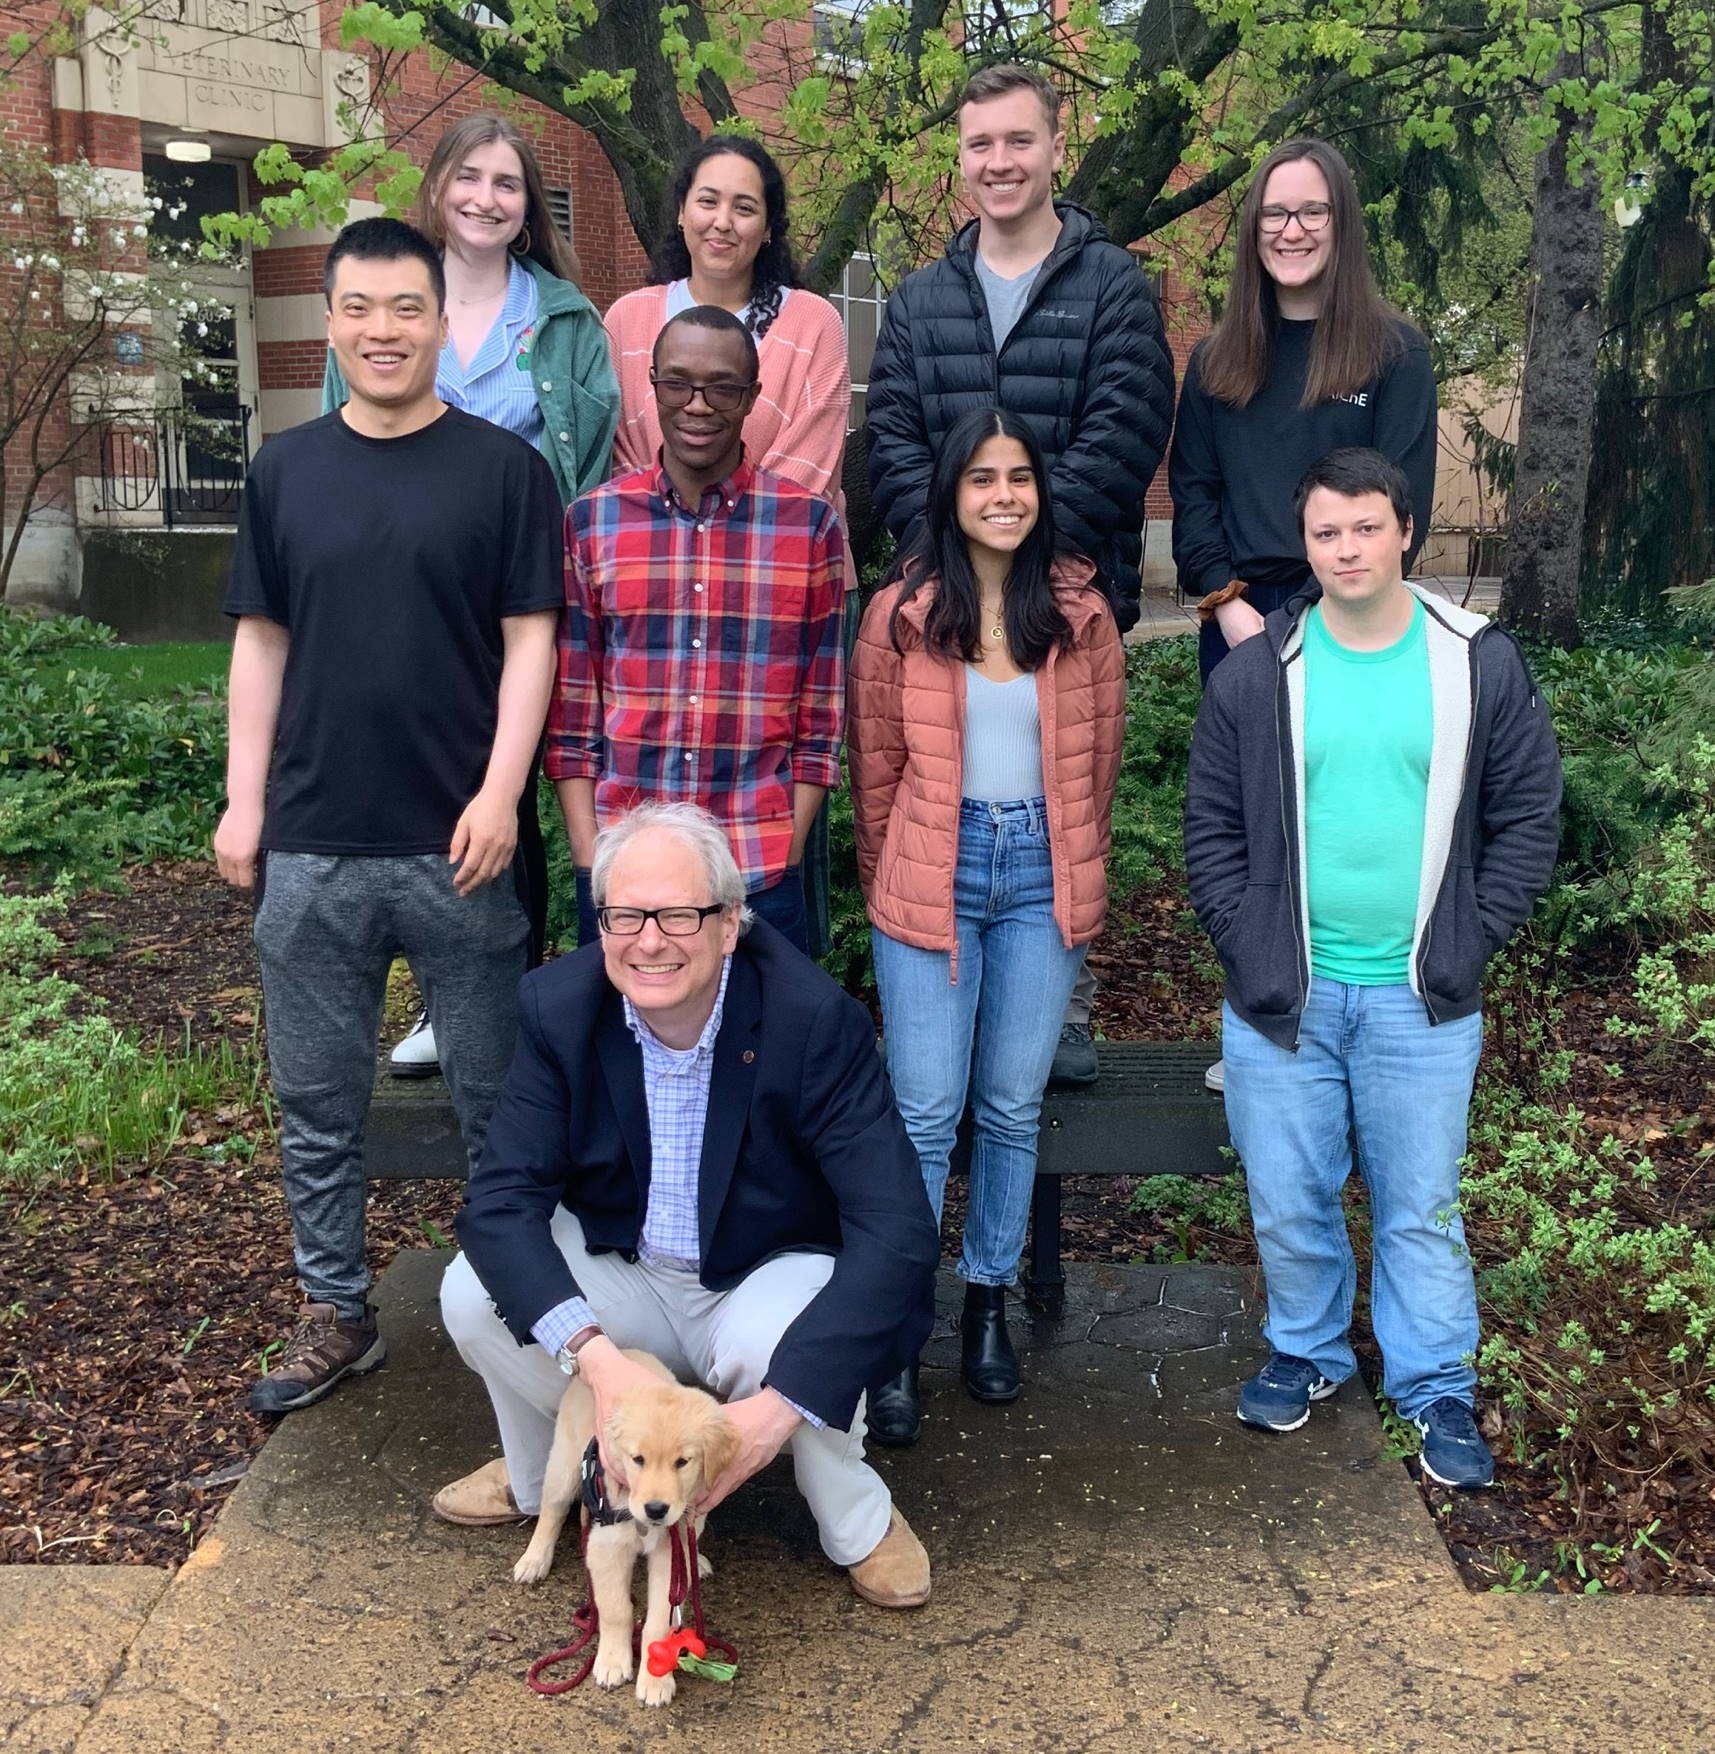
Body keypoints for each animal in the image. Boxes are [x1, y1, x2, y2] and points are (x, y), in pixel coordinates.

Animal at [513, 1349, 739, 1707]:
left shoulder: (671, 1552)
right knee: (551, 1511)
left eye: (682, 1462)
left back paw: (699, 1562)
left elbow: (659, 1621)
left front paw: (656, 1679)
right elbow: (615, 1608)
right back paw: (533, 1560)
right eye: (638, 1459)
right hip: (564, 1465)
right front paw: (611, 1662)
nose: (656, 1509)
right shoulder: (606, 1546)